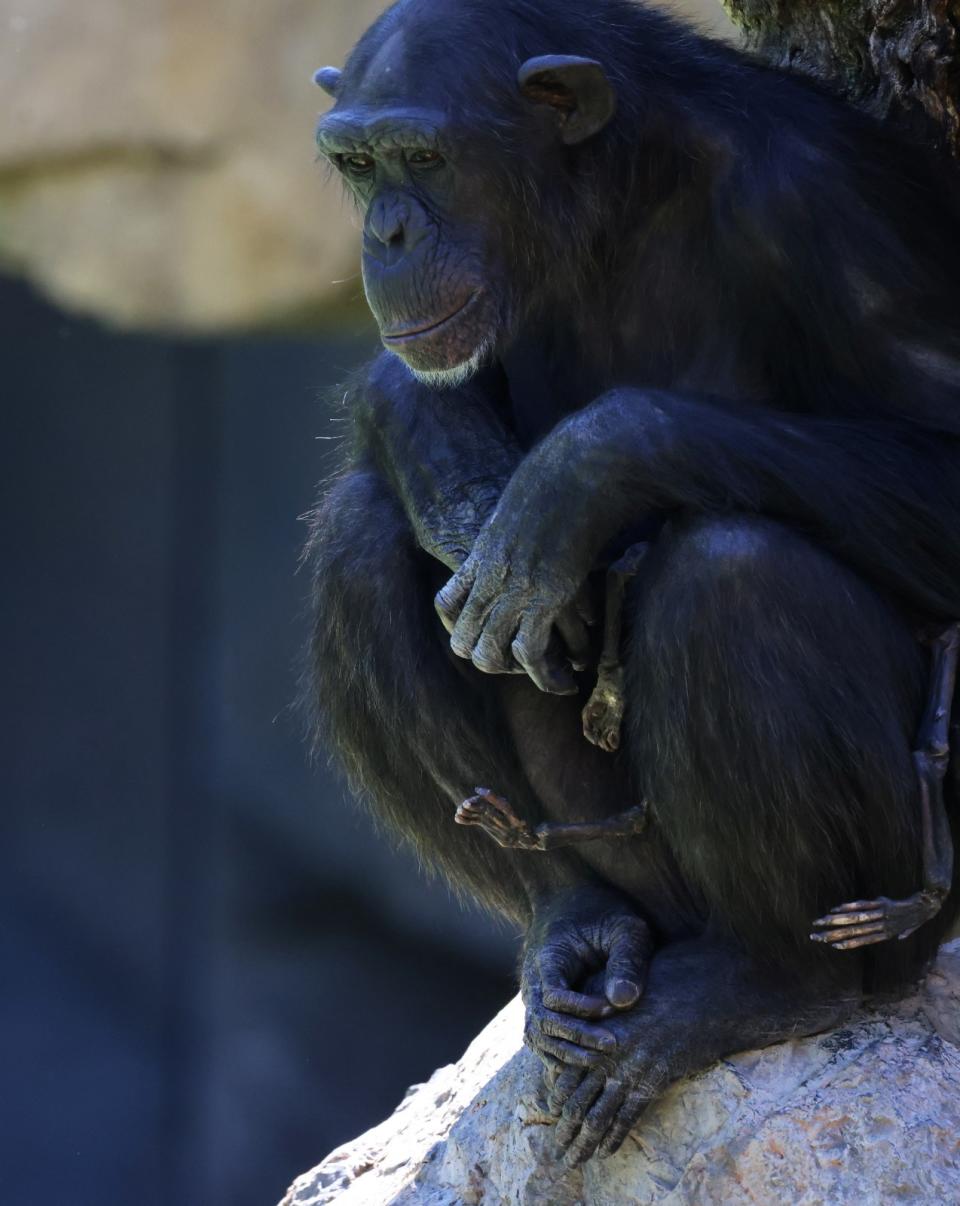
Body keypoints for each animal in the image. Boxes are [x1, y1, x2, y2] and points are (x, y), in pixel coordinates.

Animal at [305, 0, 960, 1162]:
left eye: (425, 158)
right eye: (356, 162)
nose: (385, 234)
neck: (614, 198)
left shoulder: (830, 210)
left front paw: (580, 473)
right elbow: (418, 406)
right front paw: (458, 481)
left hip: (909, 900)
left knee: (733, 575)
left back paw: (765, 984)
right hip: (627, 870)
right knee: (358, 537)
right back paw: (568, 920)